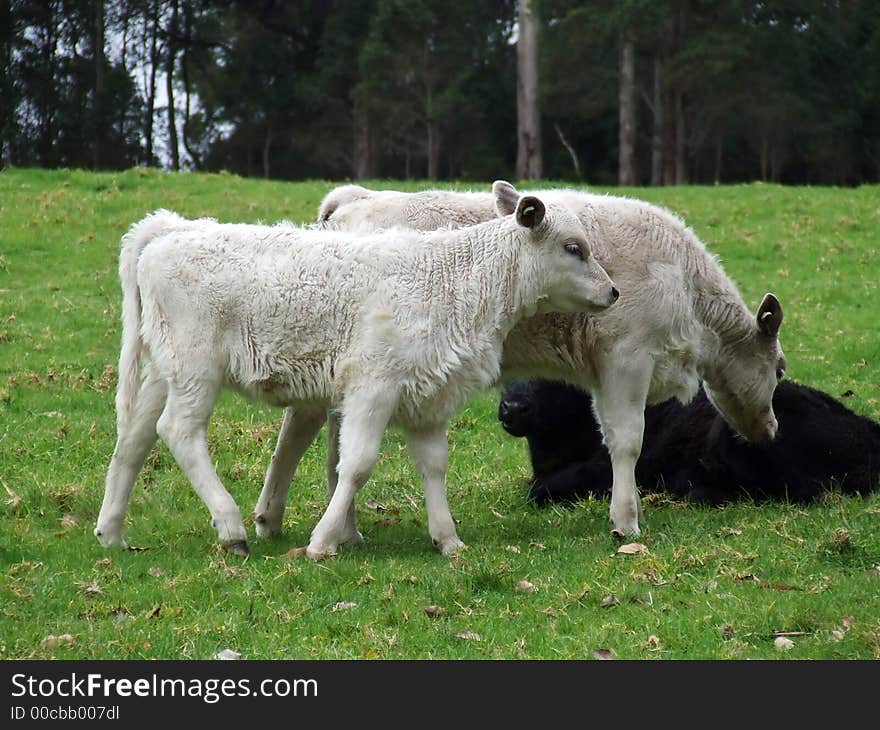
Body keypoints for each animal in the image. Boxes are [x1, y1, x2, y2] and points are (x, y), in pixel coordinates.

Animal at [94, 185, 620, 556]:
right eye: (574, 247)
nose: (613, 292)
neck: (452, 279)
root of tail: (172, 229)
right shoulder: (372, 387)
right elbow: (357, 464)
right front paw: (324, 540)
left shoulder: (428, 397)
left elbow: (434, 465)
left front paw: (448, 540)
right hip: (196, 369)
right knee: (179, 431)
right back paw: (230, 526)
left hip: (164, 370)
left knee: (135, 438)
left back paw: (111, 531)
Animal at [254, 179, 784, 536]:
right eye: (779, 370)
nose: (772, 430)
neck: (683, 283)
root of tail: (356, 197)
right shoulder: (626, 361)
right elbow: (627, 442)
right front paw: (626, 521)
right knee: (300, 428)